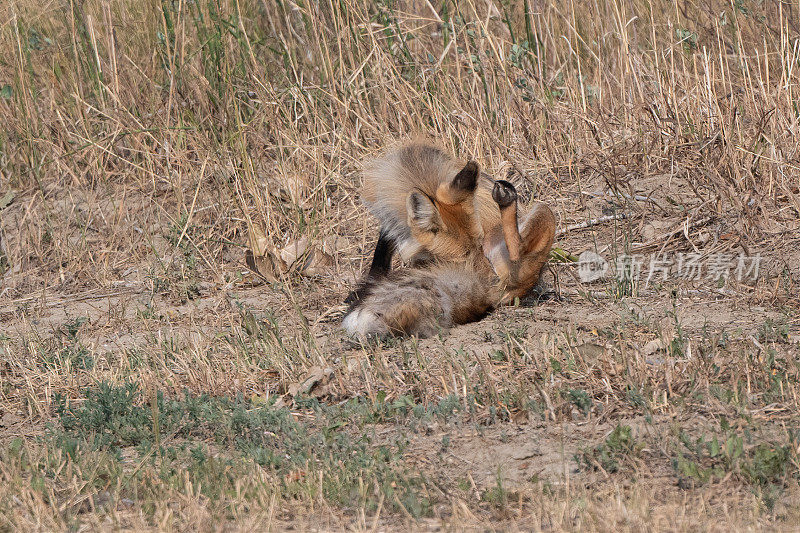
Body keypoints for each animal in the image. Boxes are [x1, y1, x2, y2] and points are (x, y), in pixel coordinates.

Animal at [344, 141, 556, 336]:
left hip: (544, 212)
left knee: (516, 249)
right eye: (461, 258)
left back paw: (507, 199)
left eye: (480, 247)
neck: (418, 175)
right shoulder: (388, 224)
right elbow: (380, 258)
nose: (485, 273)